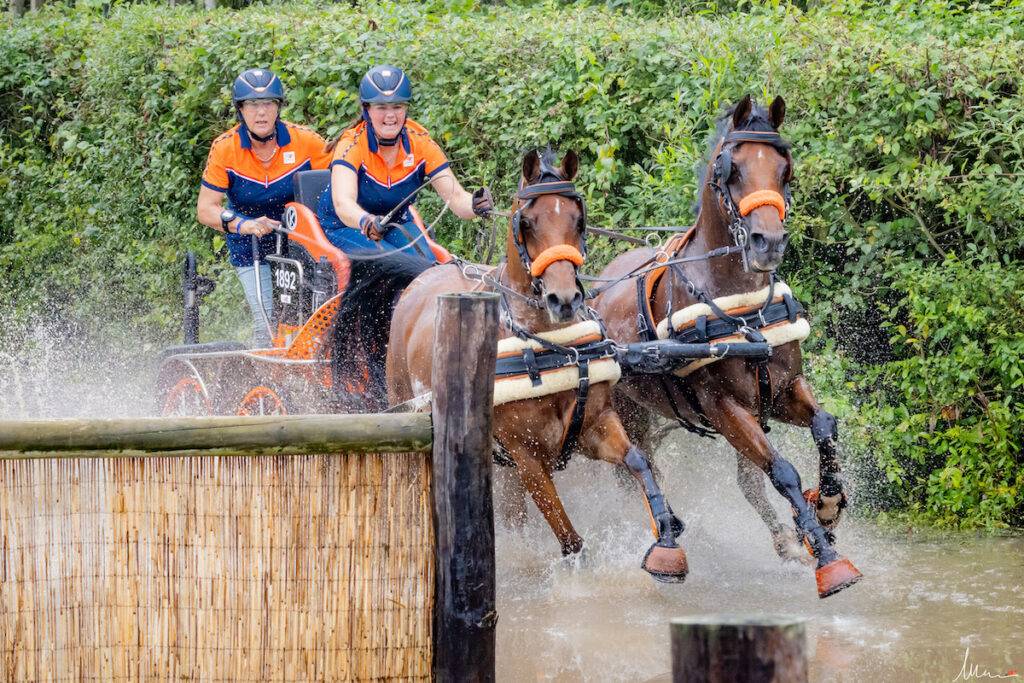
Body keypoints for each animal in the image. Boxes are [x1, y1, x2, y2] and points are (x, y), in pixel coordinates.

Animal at [389, 149, 688, 581]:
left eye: (578, 219)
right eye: (527, 222)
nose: (562, 299)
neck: (550, 346)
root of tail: (423, 280)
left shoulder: (596, 426)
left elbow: (638, 462)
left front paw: (666, 542)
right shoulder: (527, 456)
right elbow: (571, 540)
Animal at [593, 96, 864, 598]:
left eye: (785, 168)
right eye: (732, 169)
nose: (768, 243)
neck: (741, 308)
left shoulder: (780, 391)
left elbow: (823, 425)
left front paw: (827, 506)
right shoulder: (724, 407)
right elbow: (783, 471)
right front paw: (828, 557)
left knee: (742, 481)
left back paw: (782, 542)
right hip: (627, 413)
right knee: (637, 469)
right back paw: (667, 541)